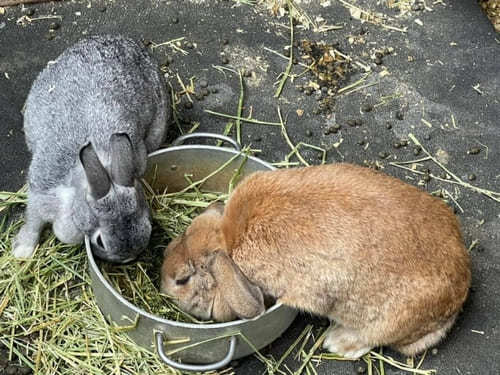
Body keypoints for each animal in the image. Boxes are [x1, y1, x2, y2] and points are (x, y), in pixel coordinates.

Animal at [12, 36, 172, 264]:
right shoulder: (40, 190)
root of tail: (122, 40)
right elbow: (33, 220)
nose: (128, 259)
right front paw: (22, 250)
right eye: (100, 242)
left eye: (148, 224)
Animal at [162, 164, 470, 358]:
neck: (227, 239)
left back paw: (338, 343)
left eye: (182, 280)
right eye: (175, 242)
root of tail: (460, 291)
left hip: (387, 320)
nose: (162, 283)